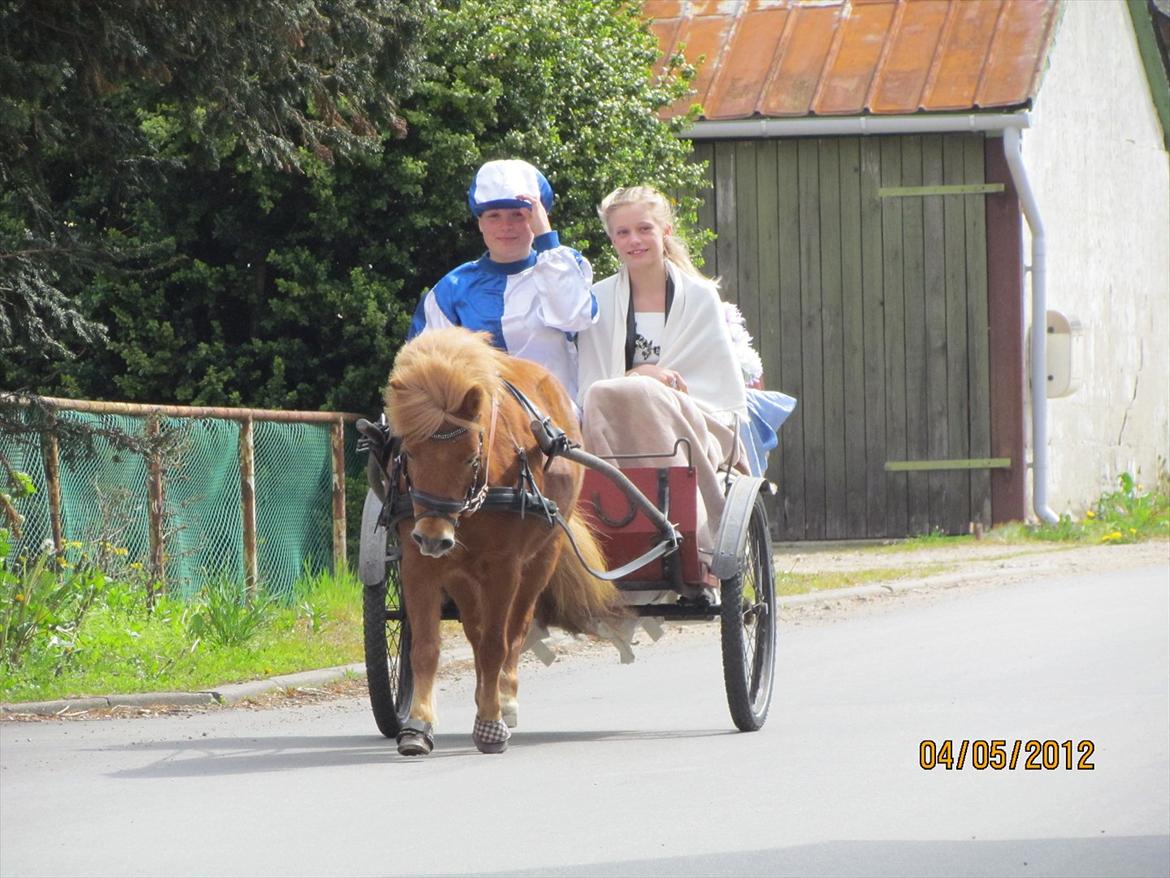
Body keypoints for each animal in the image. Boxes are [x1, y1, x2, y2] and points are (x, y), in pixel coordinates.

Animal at [383, 327, 627, 753]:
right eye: (409, 454)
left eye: (469, 457)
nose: (433, 537)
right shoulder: (419, 563)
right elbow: (426, 647)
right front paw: (418, 724)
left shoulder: (503, 567)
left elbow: (498, 642)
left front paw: (491, 723)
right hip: (461, 573)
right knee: (476, 633)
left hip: (540, 560)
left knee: (515, 629)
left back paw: (505, 698)